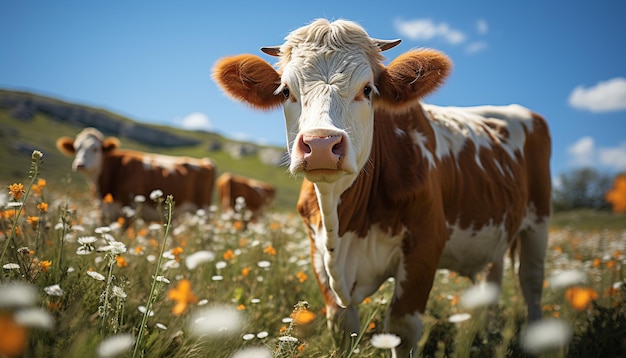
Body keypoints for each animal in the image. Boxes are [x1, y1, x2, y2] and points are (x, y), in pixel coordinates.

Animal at [56, 127, 217, 222]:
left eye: (95, 149)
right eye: (76, 148)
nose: (79, 165)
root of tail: (205, 162)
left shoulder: (129, 208)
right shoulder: (103, 210)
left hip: (204, 209)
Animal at [212, 18, 548, 356]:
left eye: (367, 89)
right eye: (285, 92)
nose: (321, 145)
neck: (342, 224)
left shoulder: (426, 242)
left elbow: (401, 329)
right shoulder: (316, 250)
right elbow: (342, 327)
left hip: (538, 221)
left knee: (531, 282)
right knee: (493, 280)